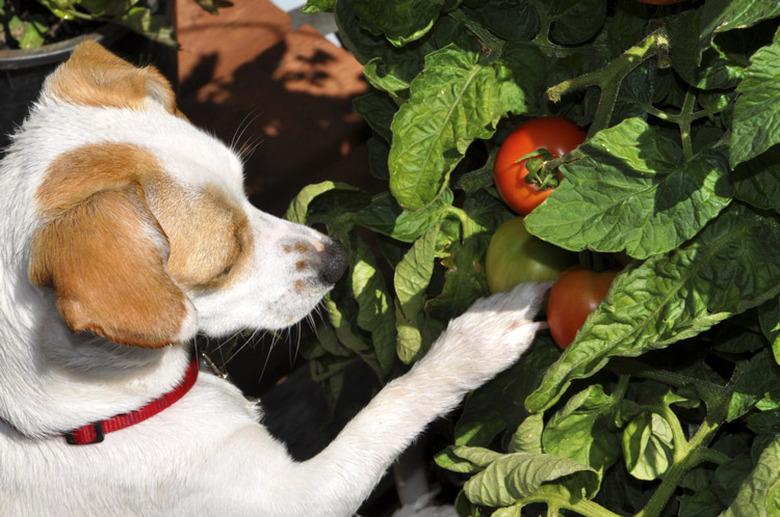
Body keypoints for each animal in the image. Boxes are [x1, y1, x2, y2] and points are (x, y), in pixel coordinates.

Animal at [0, 43, 544, 516]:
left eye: (247, 190)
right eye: (224, 264)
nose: (338, 259)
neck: (89, 418)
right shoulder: (301, 497)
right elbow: (390, 406)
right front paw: (477, 341)